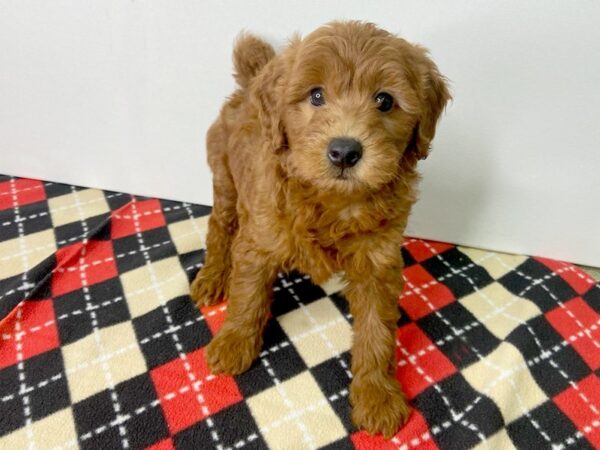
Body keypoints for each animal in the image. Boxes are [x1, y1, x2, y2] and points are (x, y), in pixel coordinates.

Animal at [192, 20, 450, 436]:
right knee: (220, 227)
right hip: (225, 178)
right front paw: (233, 342)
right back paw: (212, 277)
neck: (333, 202)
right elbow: (247, 296)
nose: (344, 151)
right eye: (316, 95)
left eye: (385, 101)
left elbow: (377, 330)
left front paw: (376, 395)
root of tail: (251, 83)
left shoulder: (378, 262)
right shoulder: (260, 237)